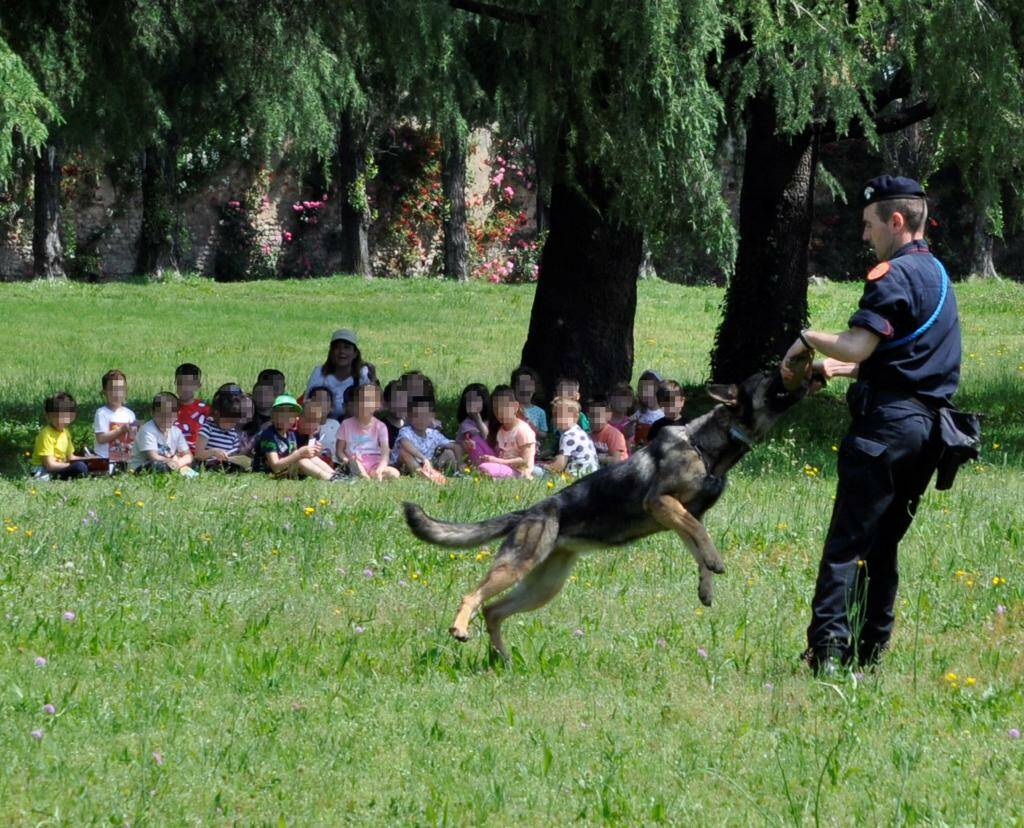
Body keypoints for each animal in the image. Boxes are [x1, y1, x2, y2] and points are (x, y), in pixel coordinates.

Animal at [403, 362, 811, 659]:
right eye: (767, 376)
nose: (799, 365)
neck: (706, 446)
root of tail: (530, 512)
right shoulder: (662, 503)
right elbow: (700, 535)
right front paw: (715, 562)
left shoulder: (683, 515)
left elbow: (697, 544)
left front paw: (706, 584)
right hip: (518, 566)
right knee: (472, 597)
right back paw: (460, 627)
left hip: (544, 586)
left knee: (494, 610)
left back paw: (501, 657)